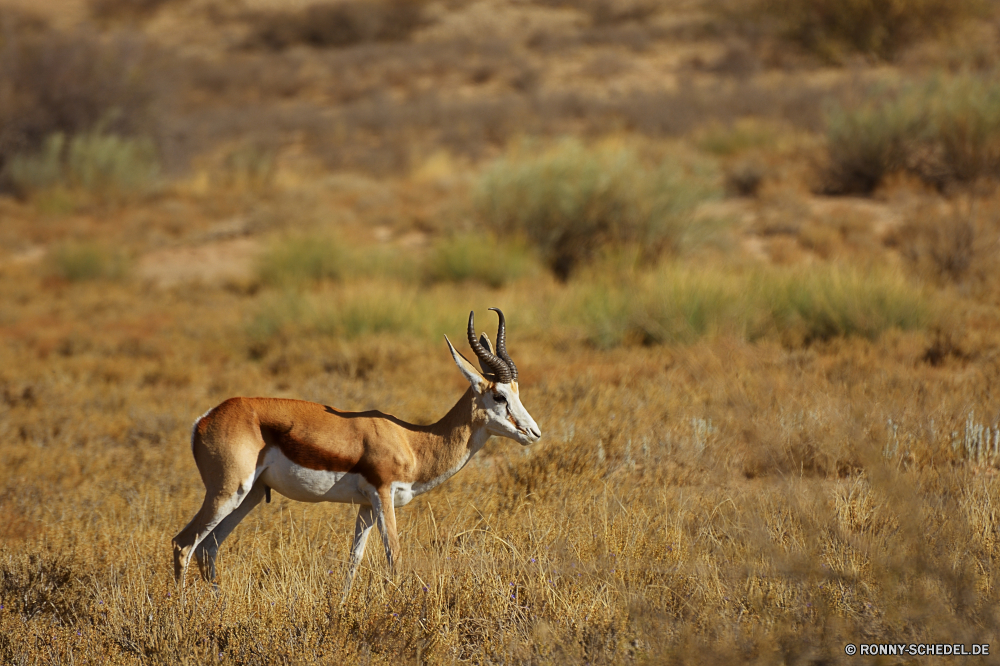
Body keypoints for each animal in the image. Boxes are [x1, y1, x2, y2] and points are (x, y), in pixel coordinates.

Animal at [172, 308, 540, 600]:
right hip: (226, 492)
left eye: (517, 391)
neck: (413, 441)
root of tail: (205, 418)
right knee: (184, 543)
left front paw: (342, 607)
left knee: (209, 547)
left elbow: (354, 560)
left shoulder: (364, 506)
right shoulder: (382, 495)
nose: (533, 432)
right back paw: (180, 614)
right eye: (499, 396)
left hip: (249, 495)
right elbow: (394, 555)